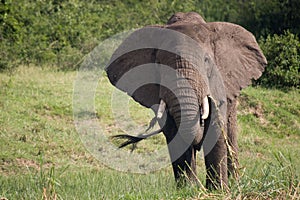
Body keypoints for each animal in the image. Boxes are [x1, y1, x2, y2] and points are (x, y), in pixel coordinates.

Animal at [106, 11, 268, 190]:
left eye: (206, 61)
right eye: (159, 63)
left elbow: (216, 127)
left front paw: (218, 191)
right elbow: (172, 131)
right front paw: (188, 190)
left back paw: (235, 183)